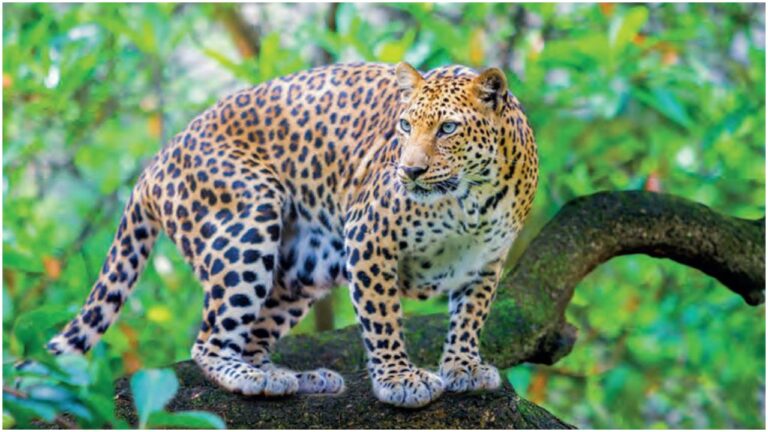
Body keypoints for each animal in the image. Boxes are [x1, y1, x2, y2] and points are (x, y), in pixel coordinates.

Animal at [47, 62, 538, 408]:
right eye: (404, 126)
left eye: (448, 128)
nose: (409, 170)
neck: (471, 199)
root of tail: (156, 161)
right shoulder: (368, 237)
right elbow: (382, 317)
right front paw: (399, 379)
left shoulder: (486, 261)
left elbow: (470, 317)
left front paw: (464, 367)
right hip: (248, 222)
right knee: (210, 342)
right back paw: (254, 379)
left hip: (302, 269)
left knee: (252, 338)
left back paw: (297, 378)